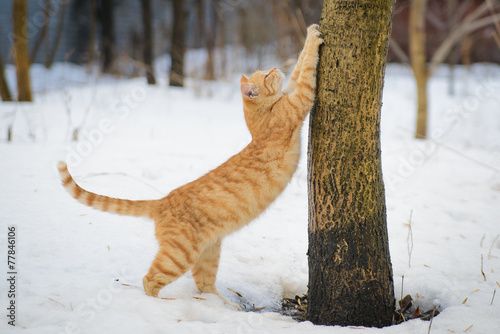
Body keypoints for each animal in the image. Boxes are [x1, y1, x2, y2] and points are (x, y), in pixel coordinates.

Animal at [58, 24, 324, 310]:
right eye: (265, 76)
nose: (275, 67)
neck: (260, 119)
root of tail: (162, 201)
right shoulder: (300, 100)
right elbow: (306, 68)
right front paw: (313, 36)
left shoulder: (291, 93)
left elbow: (297, 68)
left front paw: (308, 33)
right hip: (178, 255)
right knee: (150, 279)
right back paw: (163, 304)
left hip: (208, 253)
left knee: (204, 284)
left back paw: (226, 307)